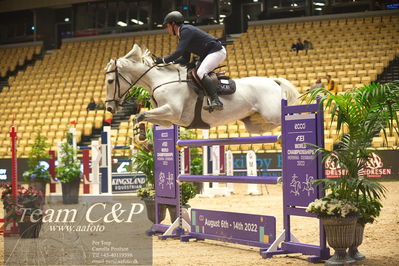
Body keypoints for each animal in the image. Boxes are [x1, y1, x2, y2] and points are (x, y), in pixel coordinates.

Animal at [106, 45, 300, 135]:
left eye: (110, 81)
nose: (109, 108)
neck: (161, 80)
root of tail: (273, 81)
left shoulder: (172, 111)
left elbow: (140, 115)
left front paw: (141, 138)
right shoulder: (168, 119)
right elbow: (140, 117)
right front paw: (141, 138)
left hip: (273, 113)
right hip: (255, 123)